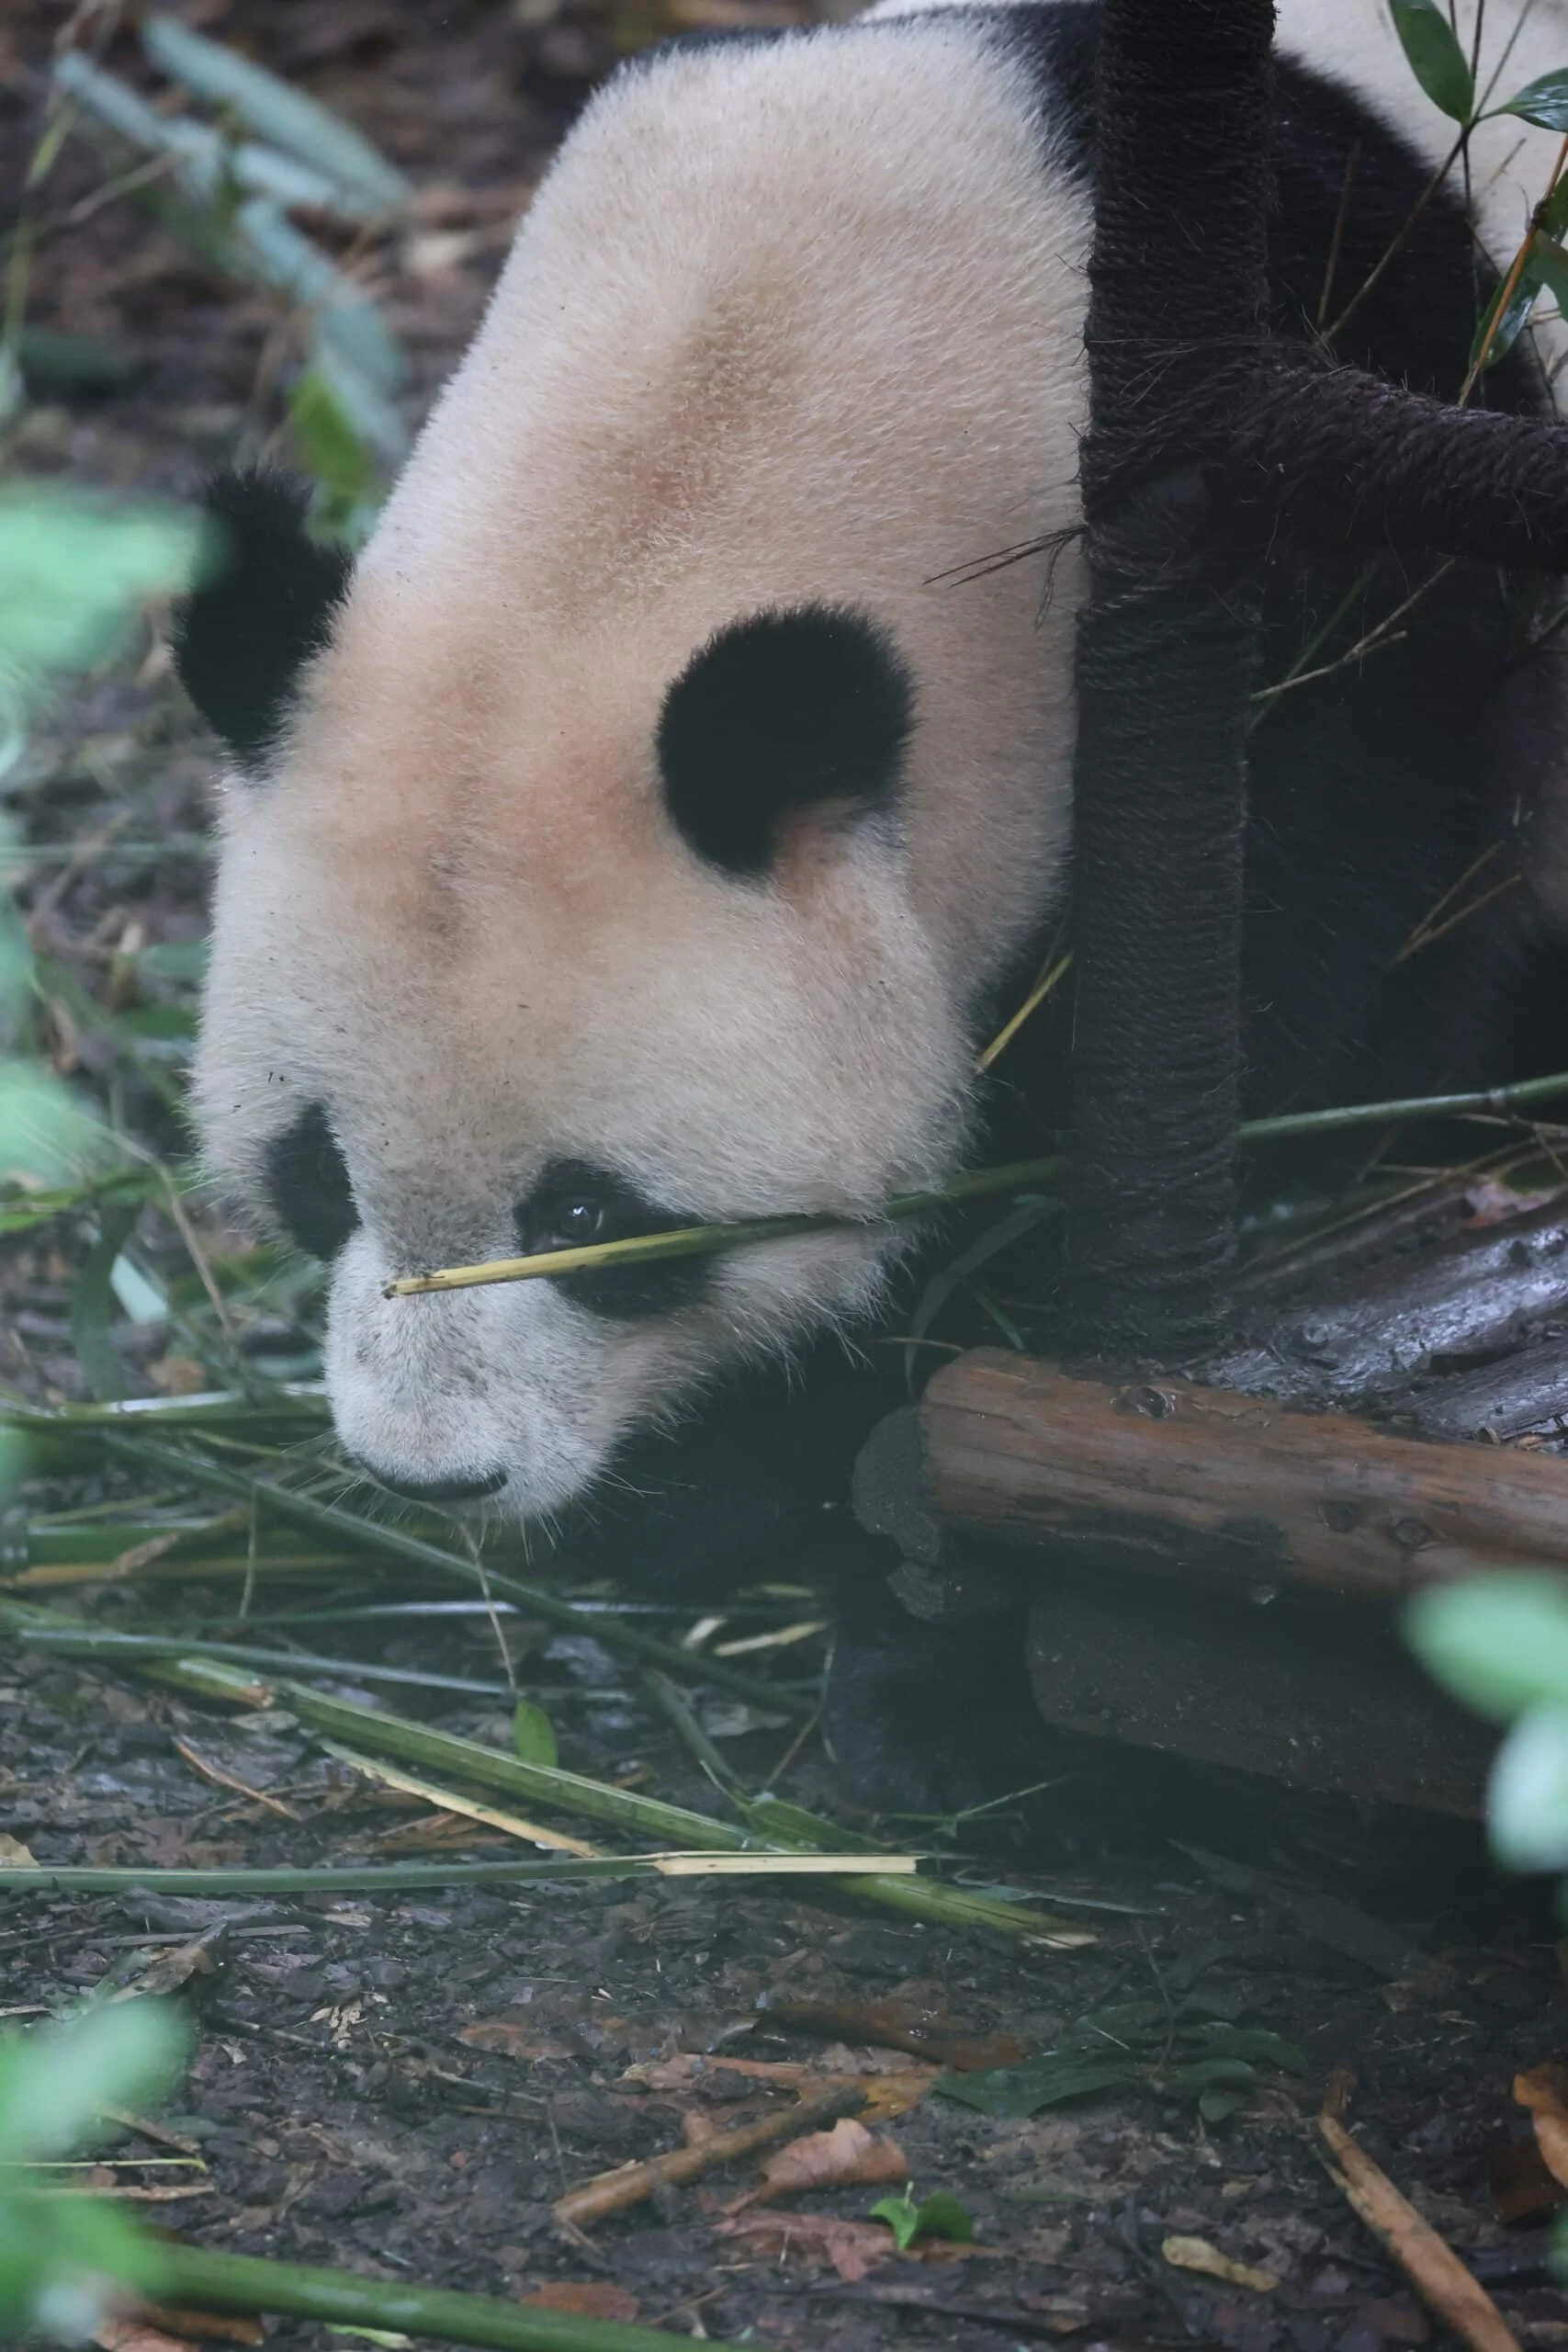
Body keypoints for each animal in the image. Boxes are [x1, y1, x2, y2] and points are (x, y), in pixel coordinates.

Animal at [177, 0, 1568, 1672]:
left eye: (590, 1213)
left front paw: (753, 1466)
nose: (429, 1472)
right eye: (316, 1175)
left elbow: (1315, 954)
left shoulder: (1333, 535)